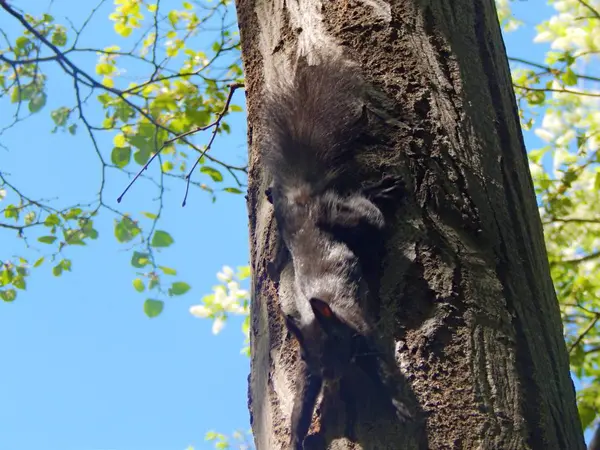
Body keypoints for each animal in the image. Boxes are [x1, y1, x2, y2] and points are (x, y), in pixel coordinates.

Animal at [262, 58, 408, 448]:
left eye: (335, 345)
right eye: (308, 357)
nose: (331, 378)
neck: (330, 315)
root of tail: (303, 203)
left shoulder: (364, 329)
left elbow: (383, 366)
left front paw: (400, 404)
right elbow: (302, 401)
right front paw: (297, 435)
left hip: (349, 218)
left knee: (364, 210)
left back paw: (378, 191)